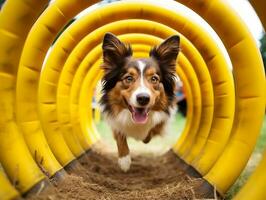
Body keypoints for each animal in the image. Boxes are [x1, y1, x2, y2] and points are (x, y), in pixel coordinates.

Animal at [100, 32, 181, 172]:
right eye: (128, 78)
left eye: (154, 79)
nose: (143, 98)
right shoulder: (113, 119)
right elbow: (119, 134)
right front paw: (124, 161)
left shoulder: (164, 117)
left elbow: (152, 130)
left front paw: (143, 135)